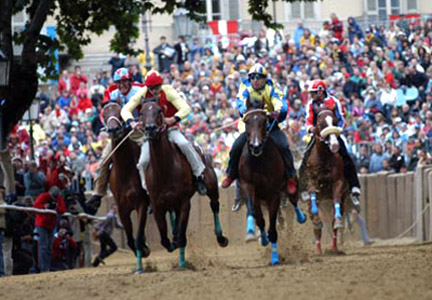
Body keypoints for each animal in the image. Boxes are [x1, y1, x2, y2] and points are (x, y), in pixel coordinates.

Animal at [102, 102, 151, 272]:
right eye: (105, 114)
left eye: (119, 112)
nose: (113, 129)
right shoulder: (122, 208)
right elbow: (130, 239)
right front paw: (141, 251)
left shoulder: (142, 203)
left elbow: (138, 235)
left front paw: (143, 251)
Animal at [141, 99, 230, 268]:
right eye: (141, 112)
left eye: (159, 111)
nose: (150, 129)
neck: (164, 169)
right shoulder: (157, 205)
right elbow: (165, 239)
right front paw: (172, 241)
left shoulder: (184, 201)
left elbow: (181, 233)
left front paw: (178, 241)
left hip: (211, 185)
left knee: (214, 205)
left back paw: (221, 237)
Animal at [238, 102, 306, 266]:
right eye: (246, 122)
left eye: (265, 121)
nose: (255, 146)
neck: (259, 161)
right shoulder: (251, 190)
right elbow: (260, 220)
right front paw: (258, 237)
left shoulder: (274, 195)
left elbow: (274, 229)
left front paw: (275, 258)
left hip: (289, 185)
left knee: (293, 200)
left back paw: (301, 217)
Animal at [302, 108, 350, 253]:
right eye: (320, 123)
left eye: (335, 121)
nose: (334, 145)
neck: (323, 159)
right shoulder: (312, 182)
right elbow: (312, 193)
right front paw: (316, 217)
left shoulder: (338, 182)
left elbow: (336, 201)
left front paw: (338, 220)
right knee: (316, 226)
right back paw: (318, 248)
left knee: (333, 223)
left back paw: (334, 246)